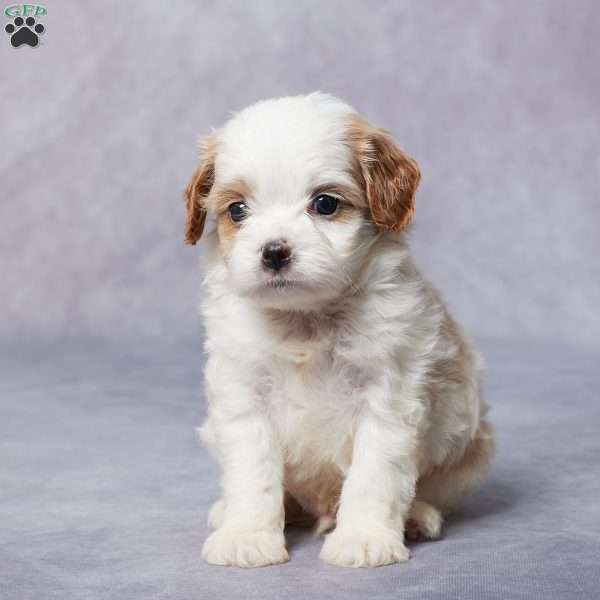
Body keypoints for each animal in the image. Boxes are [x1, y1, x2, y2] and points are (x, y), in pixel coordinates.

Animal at [183, 92, 492, 568]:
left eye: (325, 204)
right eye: (237, 210)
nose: (274, 252)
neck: (305, 319)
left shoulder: (388, 396)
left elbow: (373, 473)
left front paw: (362, 538)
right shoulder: (244, 395)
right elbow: (253, 474)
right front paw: (246, 535)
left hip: (465, 442)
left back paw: (417, 517)